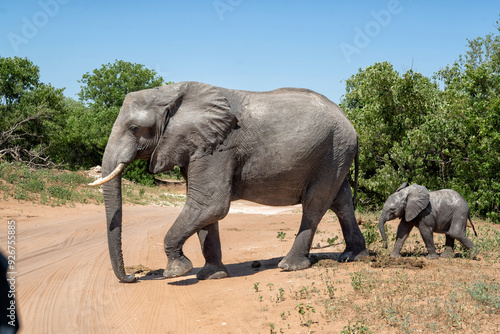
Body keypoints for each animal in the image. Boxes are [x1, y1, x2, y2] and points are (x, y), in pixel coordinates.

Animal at [91, 81, 368, 282]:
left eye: (134, 128)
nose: (133, 276)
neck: (171, 92)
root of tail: (350, 122)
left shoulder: (219, 147)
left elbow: (210, 204)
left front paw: (176, 272)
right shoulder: (198, 146)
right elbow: (204, 209)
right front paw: (212, 276)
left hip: (332, 152)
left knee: (315, 203)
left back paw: (290, 266)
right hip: (336, 155)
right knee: (341, 200)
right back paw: (353, 257)